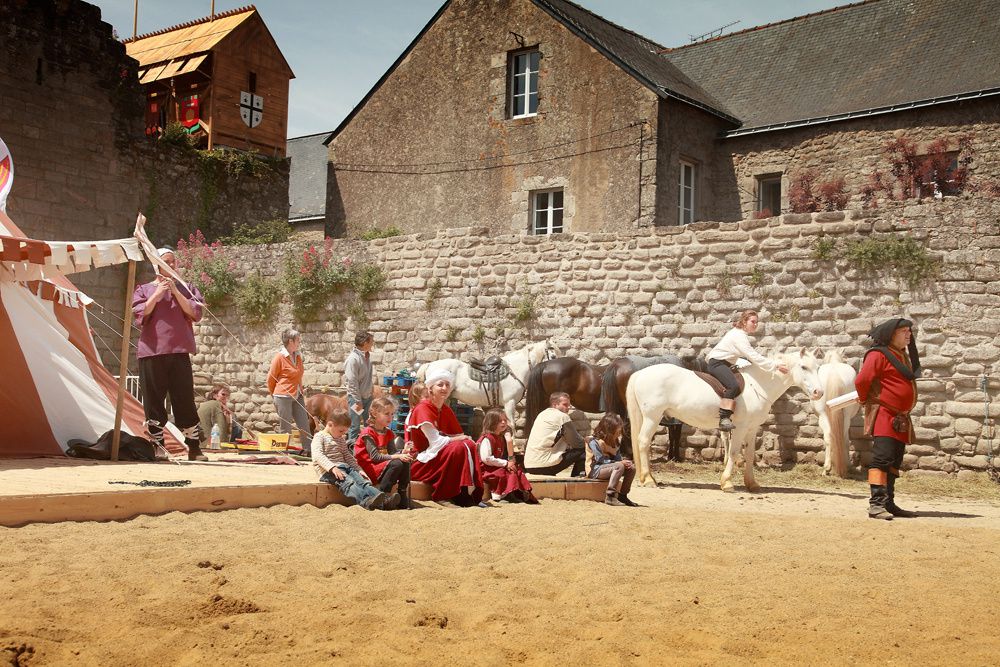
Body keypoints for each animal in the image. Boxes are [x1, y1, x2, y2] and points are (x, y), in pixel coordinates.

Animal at [624, 350, 828, 490]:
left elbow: (749, 454)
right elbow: (734, 452)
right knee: (643, 442)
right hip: (652, 417)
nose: (819, 392)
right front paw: (727, 482)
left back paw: (648, 477)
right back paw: (648, 479)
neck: (757, 385)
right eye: (804, 367)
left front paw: (752, 483)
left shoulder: (752, 428)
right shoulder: (740, 427)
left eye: (818, 368)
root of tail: (640, 373)